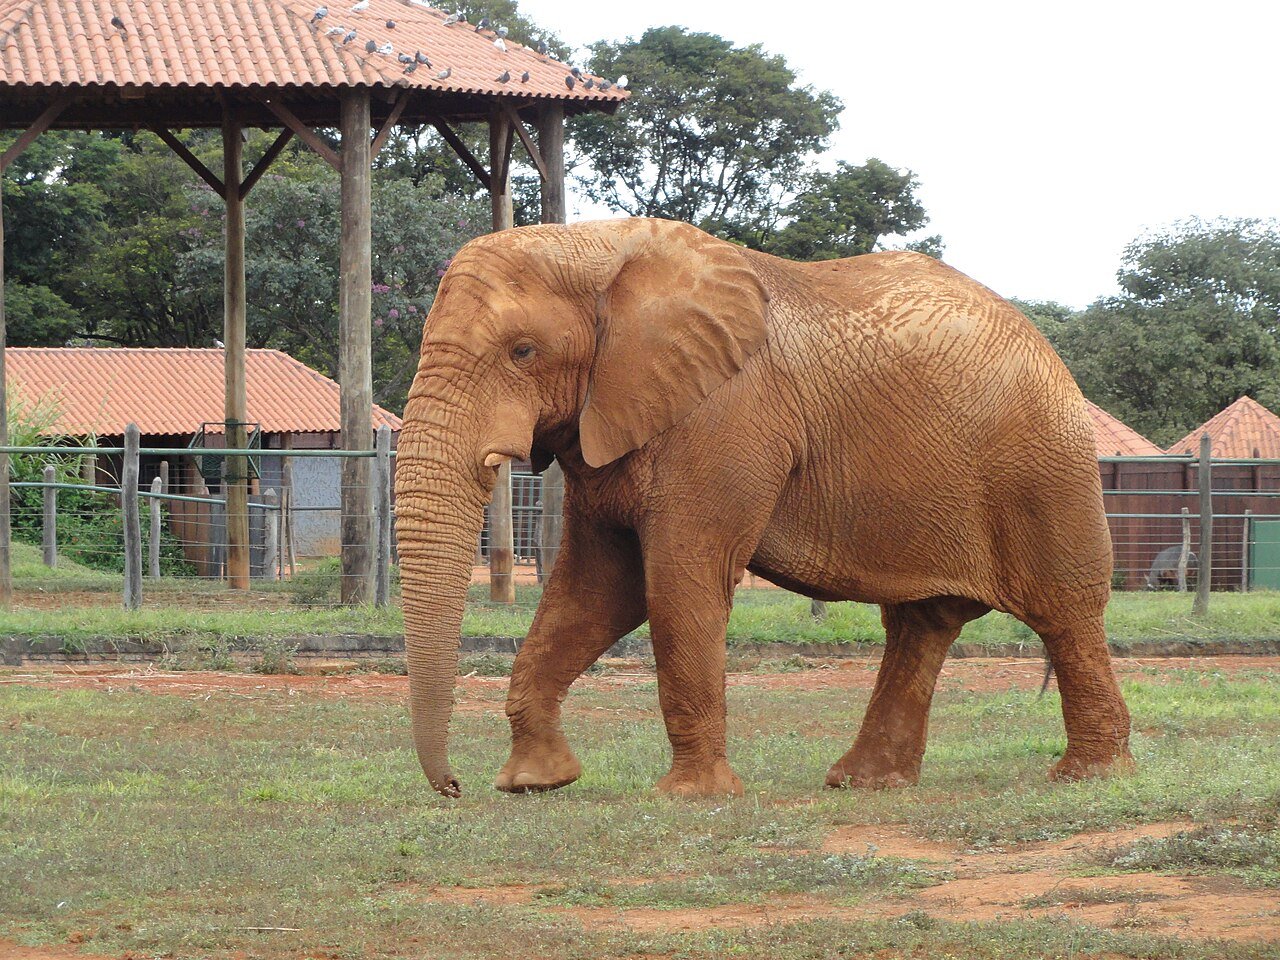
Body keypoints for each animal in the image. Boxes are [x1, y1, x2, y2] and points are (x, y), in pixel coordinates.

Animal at [394, 217, 1134, 799]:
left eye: (522, 351)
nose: (453, 787)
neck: (599, 246)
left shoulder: (725, 417)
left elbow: (677, 582)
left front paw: (690, 797)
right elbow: (596, 591)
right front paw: (536, 782)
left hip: (1044, 466)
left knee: (1065, 612)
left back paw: (1086, 777)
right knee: (921, 623)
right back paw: (863, 783)